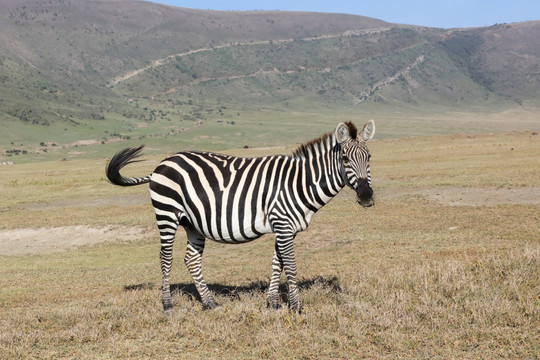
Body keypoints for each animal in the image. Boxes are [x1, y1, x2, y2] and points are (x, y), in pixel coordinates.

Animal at [105, 120, 376, 312]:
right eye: (345, 158)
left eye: (369, 157)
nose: (366, 196)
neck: (299, 182)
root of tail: (161, 164)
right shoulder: (283, 224)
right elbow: (290, 265)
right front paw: (296, 307)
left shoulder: (283, 227)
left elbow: (277, 263)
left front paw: (272, 303)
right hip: (167, 213)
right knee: (165, 257)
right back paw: (168, 305)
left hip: (192, 223)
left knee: (191, 259)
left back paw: (210, 303)